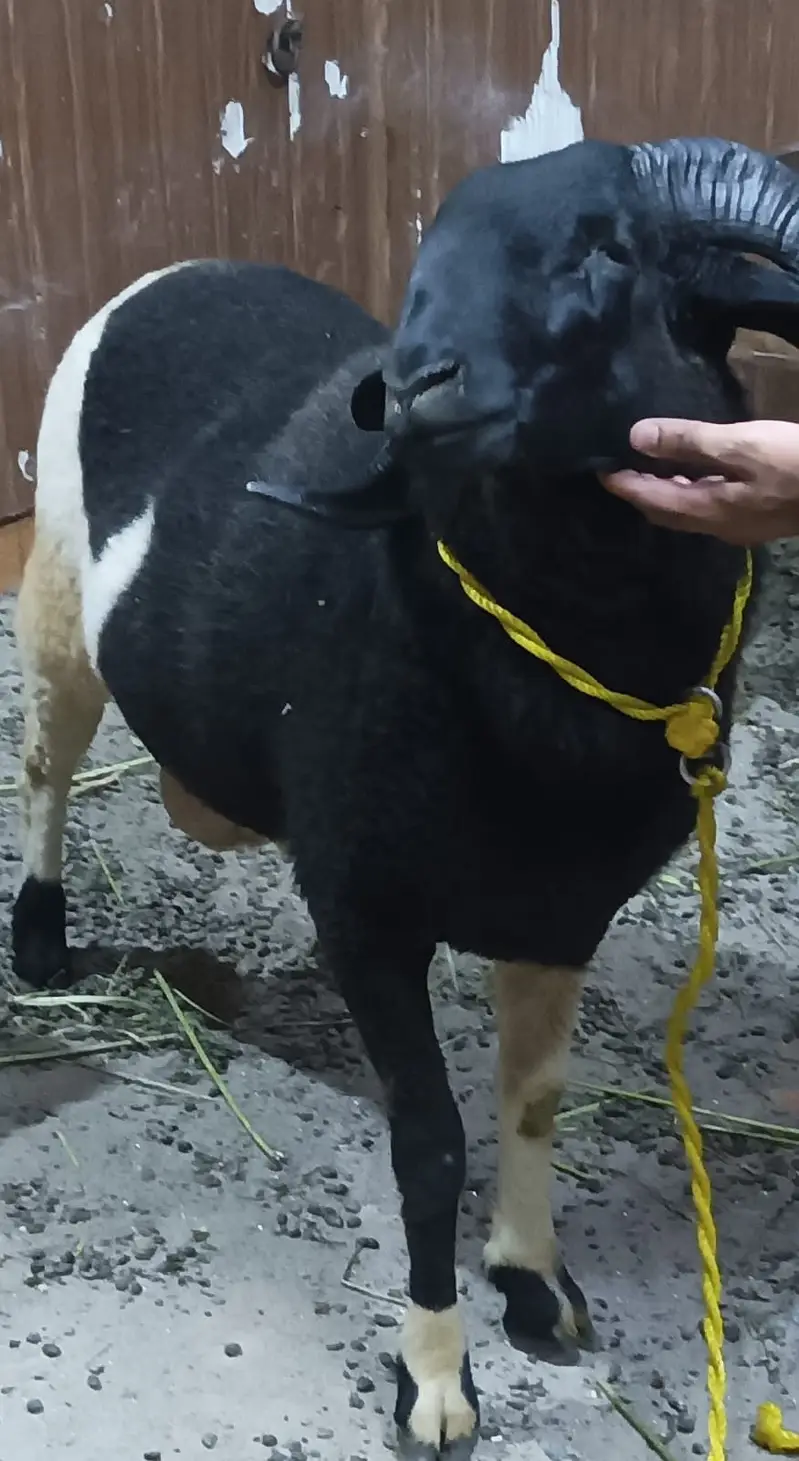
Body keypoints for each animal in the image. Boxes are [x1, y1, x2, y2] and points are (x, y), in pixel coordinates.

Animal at [11, 136, 799, 1459]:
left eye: (609, 249)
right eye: (431, 251)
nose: (416, 383)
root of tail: (184, 267)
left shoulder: (561, 917)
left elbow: (531, 1107)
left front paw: (533, 1283)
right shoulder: (364, 911)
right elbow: (429, 1146)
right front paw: (433, 1380)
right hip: (59, 604)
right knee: (47, 772)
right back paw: (39, 937)